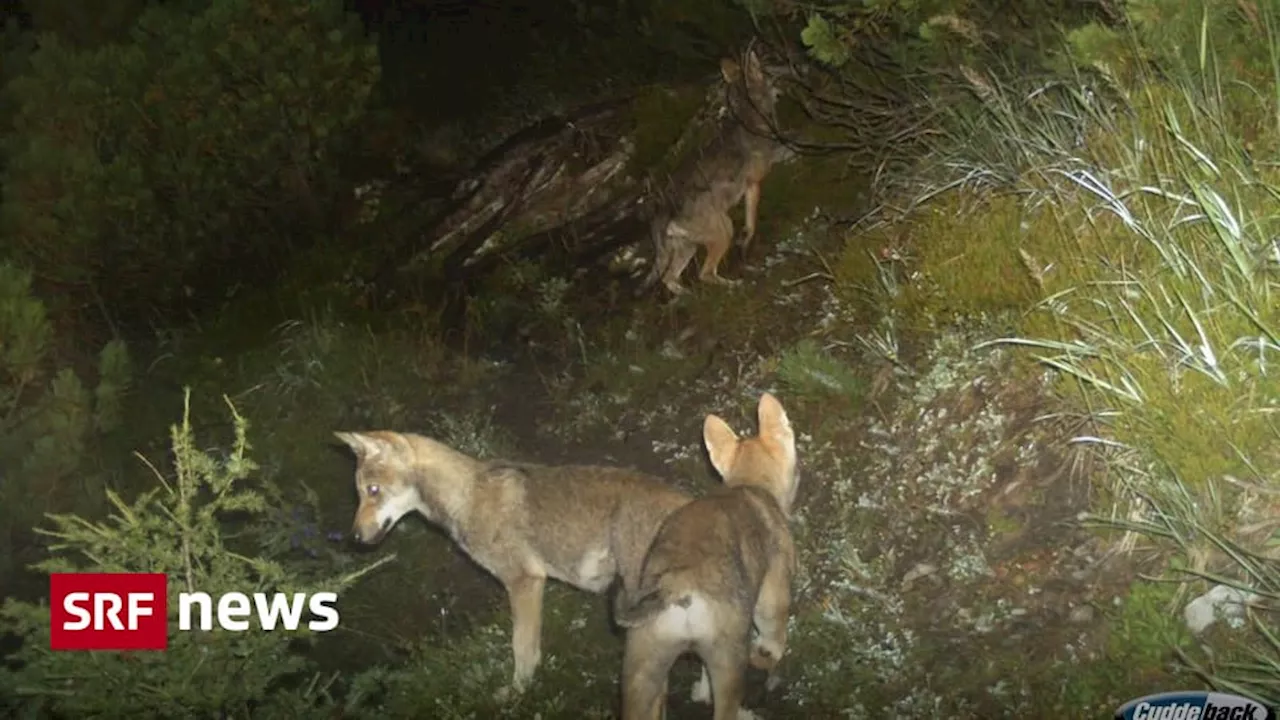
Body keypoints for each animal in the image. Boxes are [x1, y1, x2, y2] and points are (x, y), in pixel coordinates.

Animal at [327, 427, 691, 696]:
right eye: (360, 493)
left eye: (373, 490)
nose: (354, 538)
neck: (466, 497)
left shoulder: (524, 582)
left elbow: (523, 651)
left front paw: (518, 695)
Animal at [611, 392, 798, 717]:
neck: (748, 484)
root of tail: (676, 586)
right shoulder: (772, 600)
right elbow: (773, 643)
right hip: (728, 663)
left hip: (642, 673)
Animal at [640, 45, 788, 297]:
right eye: (767, 72)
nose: (781, 84)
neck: (750, 115)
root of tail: (663, 209)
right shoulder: (756, 180)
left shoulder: (751, 186)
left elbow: (750, 223)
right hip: (723, 230)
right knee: (704, 274)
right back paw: (733, 285)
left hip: (688, 247)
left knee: (670, 279)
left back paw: (688, 296)